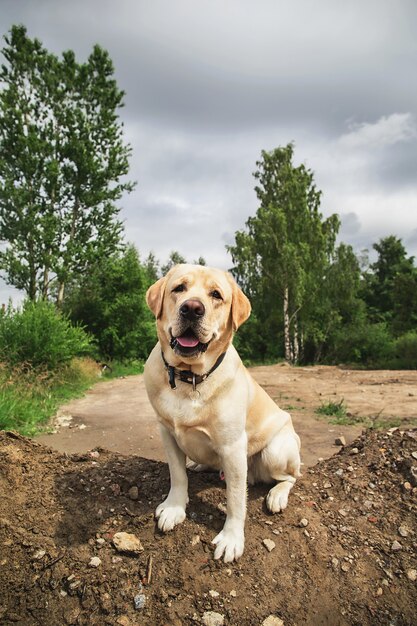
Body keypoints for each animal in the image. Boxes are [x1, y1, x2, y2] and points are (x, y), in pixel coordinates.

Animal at [143, 264, 300, 560]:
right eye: (179, 288)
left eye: (216, 294)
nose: (192, 308)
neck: (190, 378)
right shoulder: (166, 431)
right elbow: (177, 475)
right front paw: (174, 508)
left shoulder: (232, 446)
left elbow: (236, 499)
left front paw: (231, 539)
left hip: (275, 451)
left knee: (292, 477)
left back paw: (277, 495)